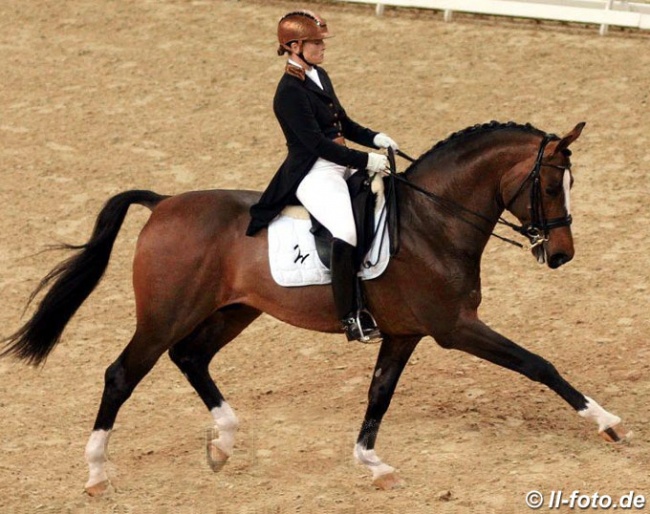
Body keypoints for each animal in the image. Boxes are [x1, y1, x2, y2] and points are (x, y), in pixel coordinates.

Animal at [2, 120, 624, 492]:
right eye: (551, 186)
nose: (561, 255)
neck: (434, 220)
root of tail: (163, 204)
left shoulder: (404, 333)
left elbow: (379, 394)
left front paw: (371, 462)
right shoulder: (455, 327)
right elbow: (537, 364)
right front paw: (607, 423)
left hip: (232, 311)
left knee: (191, 359)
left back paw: (223, 442)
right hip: (164, 315)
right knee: (121, 374)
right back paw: (96, 472)